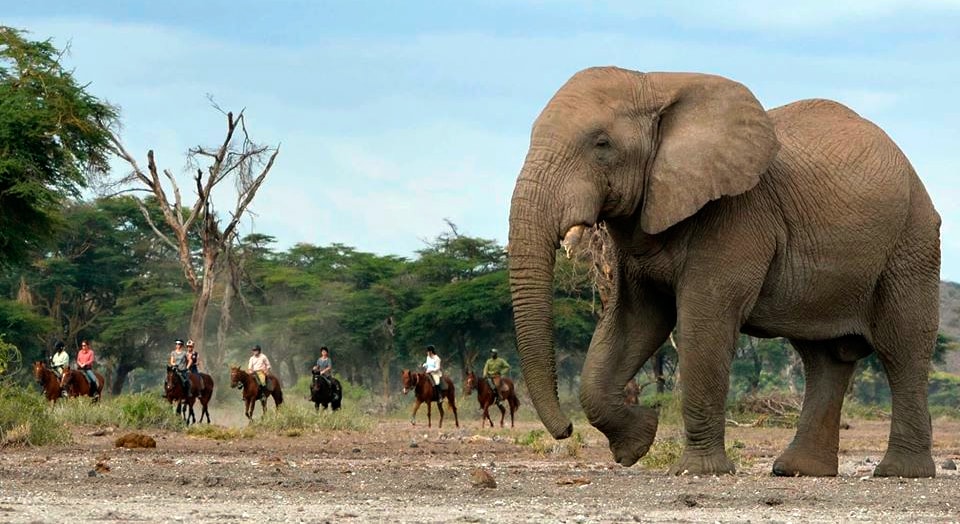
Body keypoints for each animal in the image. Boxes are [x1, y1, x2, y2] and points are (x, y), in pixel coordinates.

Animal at [510, 64, 936, 474]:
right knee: (824, 358)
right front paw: (638, 442)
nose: (565, 430)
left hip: (911, 240)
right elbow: (633, 324)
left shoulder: (737, 215)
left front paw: (696, 470)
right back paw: (798, 470)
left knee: (903, 347)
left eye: (602, 144)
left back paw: (899, 472)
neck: (657, 85)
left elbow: (703, 325)